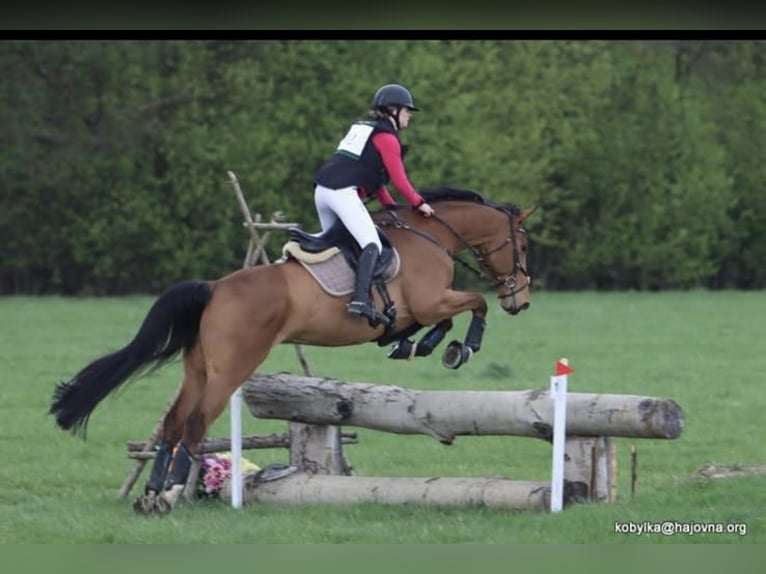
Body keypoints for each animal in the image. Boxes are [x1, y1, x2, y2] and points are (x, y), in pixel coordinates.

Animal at [49, 187, 535, 516]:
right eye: (524, 244)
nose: (521, 302)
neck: (432, 235)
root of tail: (214, 287)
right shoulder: (432, 300)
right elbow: (474, 303)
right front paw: (459, 348)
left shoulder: (422, 308)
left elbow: (432, 321)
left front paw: (416, 344)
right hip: (232, 369)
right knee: (195, 424)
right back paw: (168, 495)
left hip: (199, 369)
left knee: (172, 422)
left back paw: (150, 495)